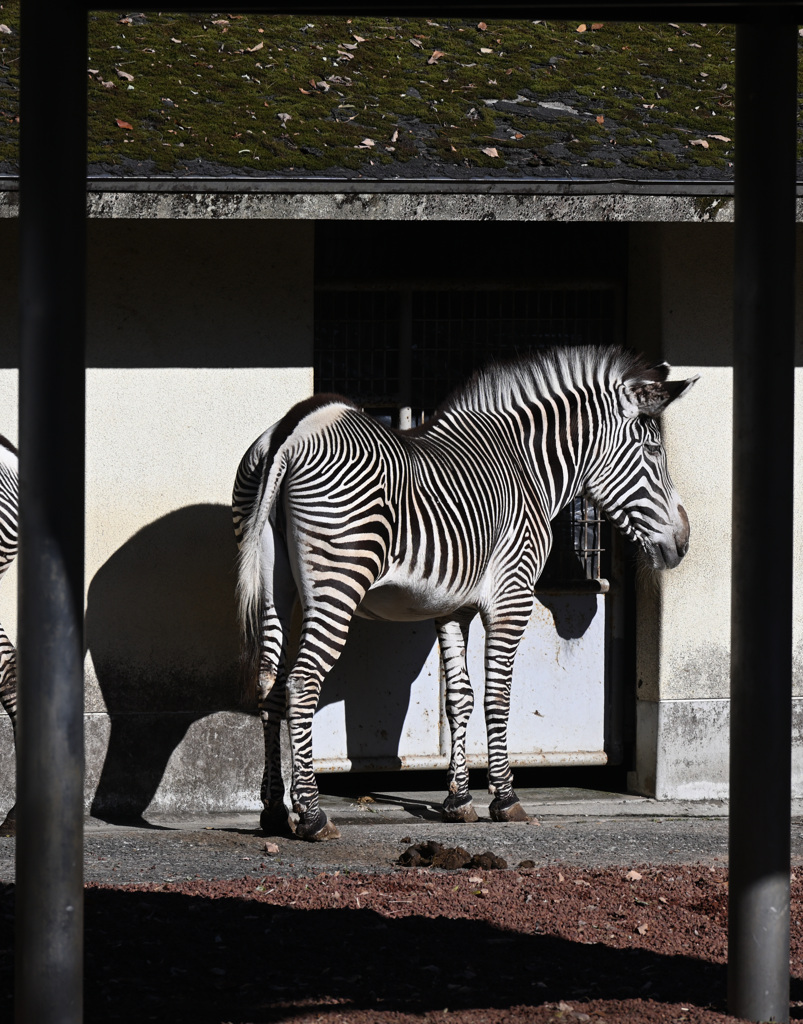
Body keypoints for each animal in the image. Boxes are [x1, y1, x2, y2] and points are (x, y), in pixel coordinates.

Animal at [232, 344, 696, 839]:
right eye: (653, 449)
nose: (683, 541)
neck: (527, 466)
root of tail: (293, 428)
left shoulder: (452, 607)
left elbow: (459, 698)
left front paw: (458, 800)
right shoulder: (513, 594)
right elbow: (497, 698)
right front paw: (506, 799)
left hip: (276, 586)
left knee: (270, 685)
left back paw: (274, 809)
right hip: (339, 579)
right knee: (301, 683)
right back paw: (313, 815)